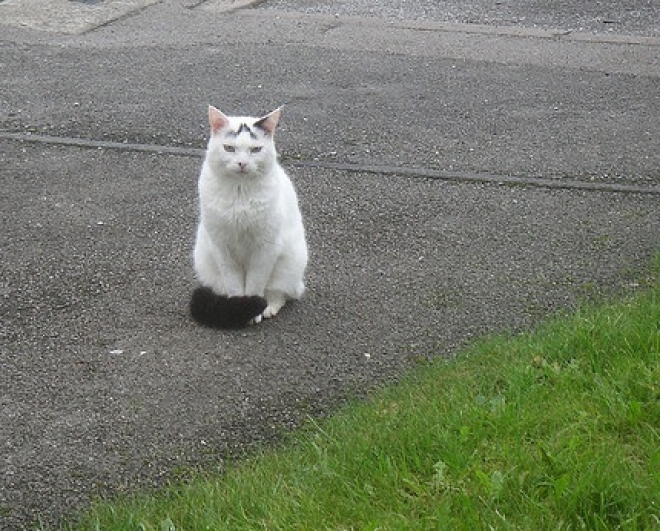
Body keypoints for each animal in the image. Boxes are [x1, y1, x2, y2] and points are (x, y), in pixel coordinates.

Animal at [188, 105, 306, 328]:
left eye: (255, 149)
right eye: (229, 148)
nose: (242, 163)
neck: (239, 192)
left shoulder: (265, 249)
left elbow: (255, 283)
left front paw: (253, 311)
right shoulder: (222, 247)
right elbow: (234, 284)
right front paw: (238, 308)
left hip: (290, 263)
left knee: (280, 293)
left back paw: (268, 307)